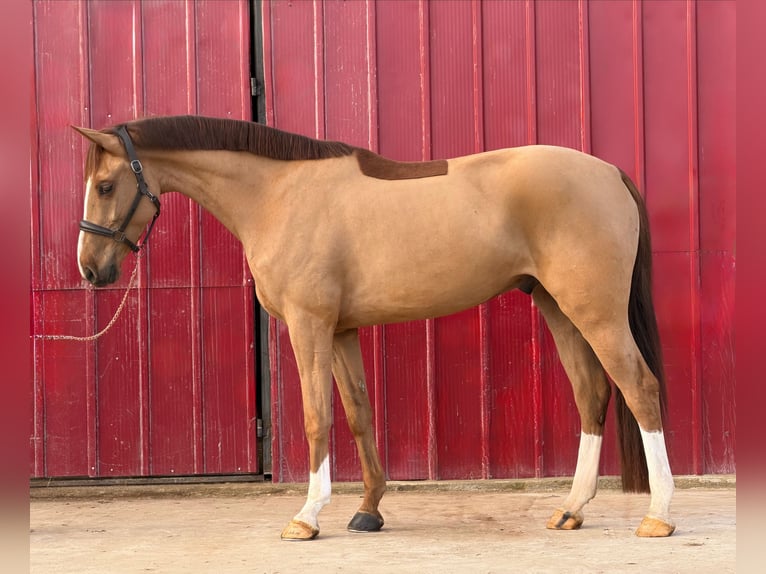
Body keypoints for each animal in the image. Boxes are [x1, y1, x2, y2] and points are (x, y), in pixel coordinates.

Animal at [73, 115, 675, 539]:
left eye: (104, 186)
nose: (90, 269)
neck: (278, 194)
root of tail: (610, 173)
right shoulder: (340, 331)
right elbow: (360, 414)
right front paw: (368, 511)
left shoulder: (309, 325)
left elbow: (317, 417)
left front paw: (308, 516)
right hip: (558, 306)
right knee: (592, 393)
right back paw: (571, 510)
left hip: (595, 311)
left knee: (639, 388)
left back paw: (659, 514)